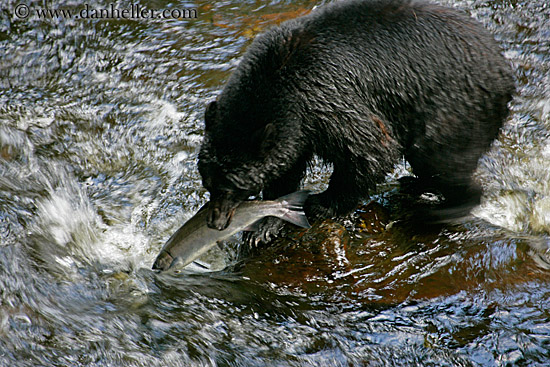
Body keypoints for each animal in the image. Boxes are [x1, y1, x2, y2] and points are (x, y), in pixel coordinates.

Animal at [199, 0, 516, 242]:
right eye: (208, 182)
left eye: (232, 187)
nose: (215, 222)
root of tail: (503, 67)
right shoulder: (295, 129)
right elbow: (285, 168)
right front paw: (265, 225)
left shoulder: (324, 96)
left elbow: (369, 148)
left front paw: (322, 203)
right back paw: (415, 184)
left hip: (454, 105)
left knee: (441, 156)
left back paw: (445, 209)